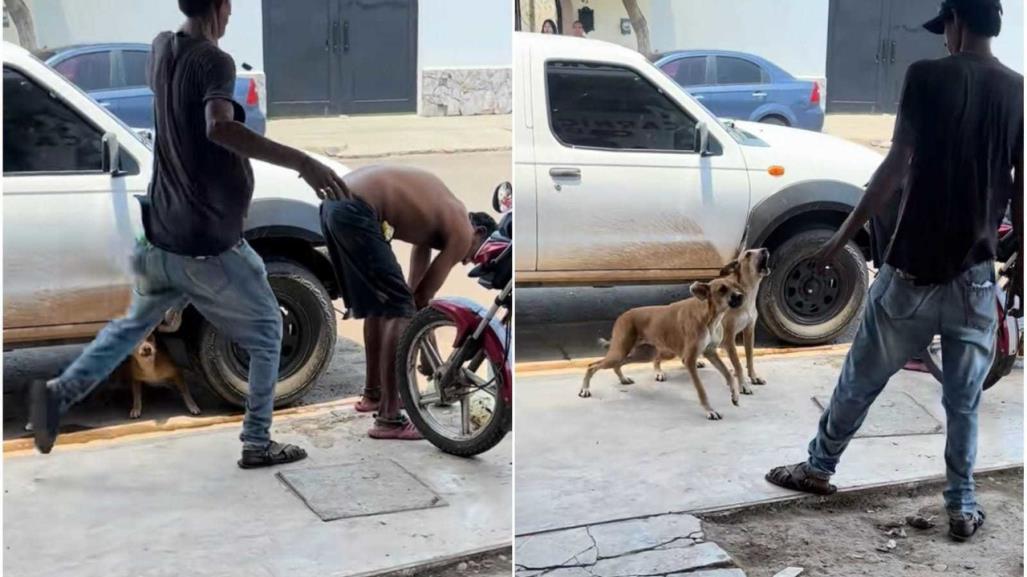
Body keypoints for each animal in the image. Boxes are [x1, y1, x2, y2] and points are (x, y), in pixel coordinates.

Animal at [579, 275, 747, 416]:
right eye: (722, 289)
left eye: (736, 286)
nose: (740, 296)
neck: (709, 315)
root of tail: (622, 315)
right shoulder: (690, 360)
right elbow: (701, 390)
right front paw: (709, 410)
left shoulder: (710, 352)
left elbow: (728, 374)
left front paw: (735, 395)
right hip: (620, 352)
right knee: (592, 365)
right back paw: (585, 389)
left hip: (645, 354)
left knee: (618, 364)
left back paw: (623, 379)